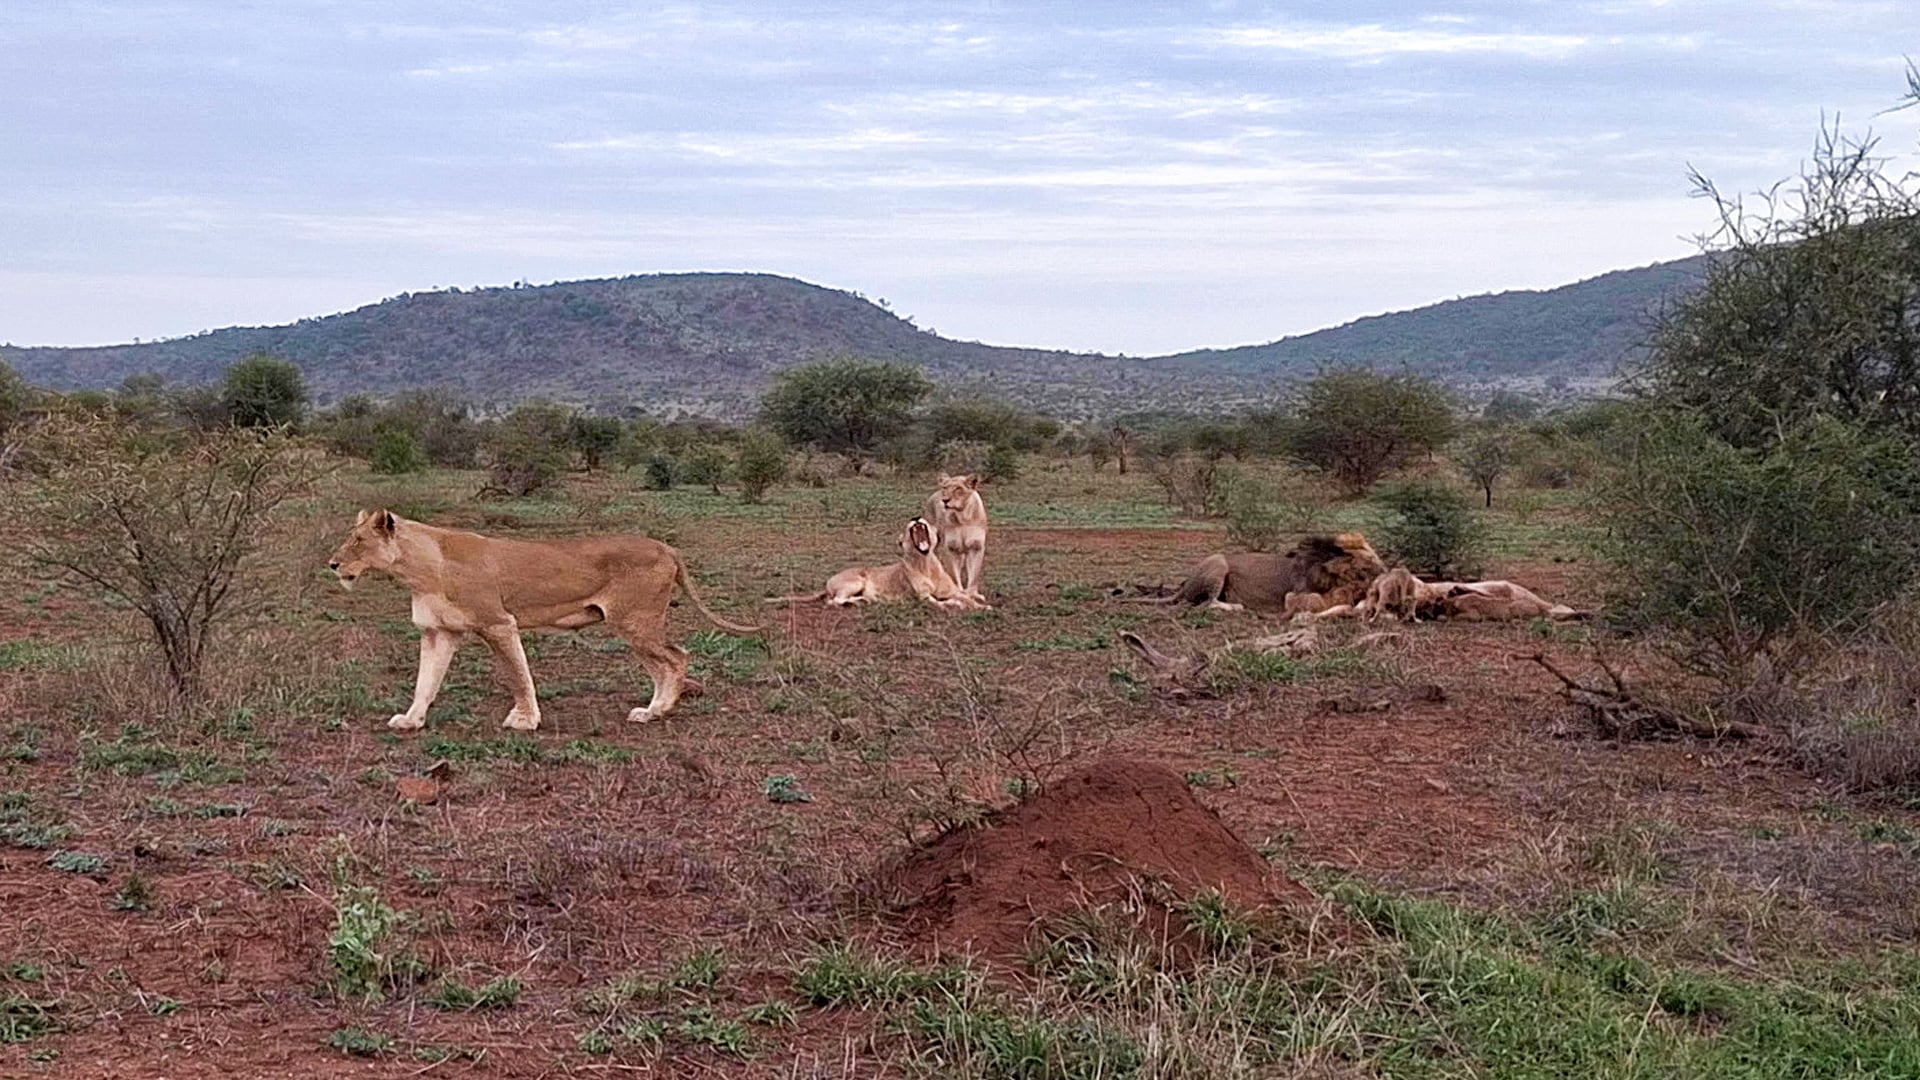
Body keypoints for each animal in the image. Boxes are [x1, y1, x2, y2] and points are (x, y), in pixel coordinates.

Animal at [328, 509, 760, 732]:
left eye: (358, 542)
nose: (333, 564)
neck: (419, 570)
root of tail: (665, 546)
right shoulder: (439, 632)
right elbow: (425, 682)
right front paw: (411, 720)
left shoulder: (498, 623)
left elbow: (518, 675)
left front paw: (525, 720)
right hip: (636, 626)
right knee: (666, 663)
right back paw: (652, 709)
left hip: (636, 622)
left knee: (677, 657)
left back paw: (658, 712)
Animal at [769, 517, 988, 610]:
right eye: (909, 525)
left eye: (923, 520)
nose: (916, 518)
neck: (926, 563)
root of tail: (828, 582)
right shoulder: (925, 598)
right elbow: (947, 602)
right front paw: (958, 605)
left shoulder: (952, 591)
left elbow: (965, 597)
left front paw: (982, 606)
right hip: (856, 581)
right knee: (834, 601)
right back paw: (859, 602)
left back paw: (866, 600)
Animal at [1135, 533, 1387, 614]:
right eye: (1367, 564)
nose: (1385, 570)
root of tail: (1185, 586)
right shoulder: (1298, 594)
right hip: (1218, 563)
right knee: (1207, 604)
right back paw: (1237, 607)